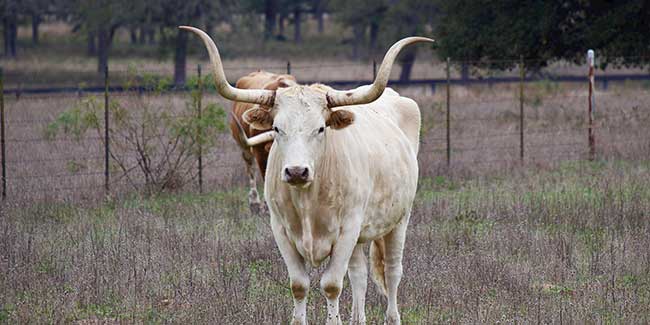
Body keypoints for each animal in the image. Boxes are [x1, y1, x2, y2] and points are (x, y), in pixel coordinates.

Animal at [180, 26, 430, 324]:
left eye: (321, 128)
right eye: (277, 128)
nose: (297, 171)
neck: (308, 198)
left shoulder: (347, 229)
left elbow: (332, 285)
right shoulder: (282, 230)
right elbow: (299, 285)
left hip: (399, 220)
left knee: (392, 272)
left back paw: (392, 317)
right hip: (360, 235)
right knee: (359, 274)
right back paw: (357, 319)